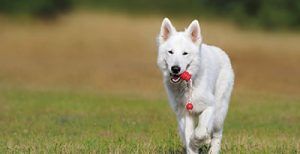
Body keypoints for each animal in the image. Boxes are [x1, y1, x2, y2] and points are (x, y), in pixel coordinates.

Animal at [157, 18, 234, 154]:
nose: (175, 69)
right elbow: (189, 136)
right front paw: (193, 145)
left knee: (217, 134)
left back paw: (212, 149)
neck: (187, 85)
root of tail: (222, 52)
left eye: (185, 53)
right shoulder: (185, 114)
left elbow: (200, 131)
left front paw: (200, 140)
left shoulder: (210, 106)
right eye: (170, 52)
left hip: (220, 111)